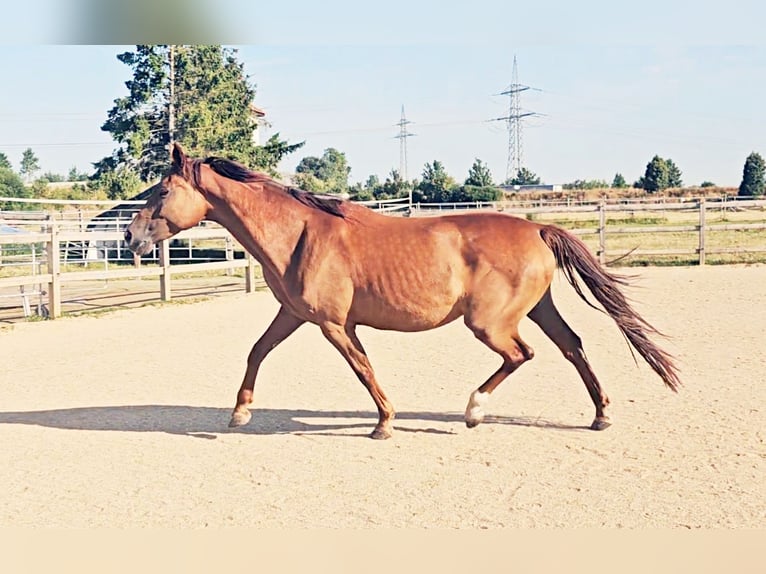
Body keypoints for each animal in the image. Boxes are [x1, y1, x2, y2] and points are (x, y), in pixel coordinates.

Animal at [124, 143, 680, 439]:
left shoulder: (333, 325)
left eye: (163, 191)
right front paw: (239, 412)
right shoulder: (295, 315)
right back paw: (601, 415)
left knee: (523, 355)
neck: (300, 234)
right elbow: (257, 351)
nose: (130, 237)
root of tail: (537, 228)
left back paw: (474, 410)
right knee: (572, 347)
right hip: (537, 309)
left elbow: (363, 369)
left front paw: (384, 423)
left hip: (489, 323)